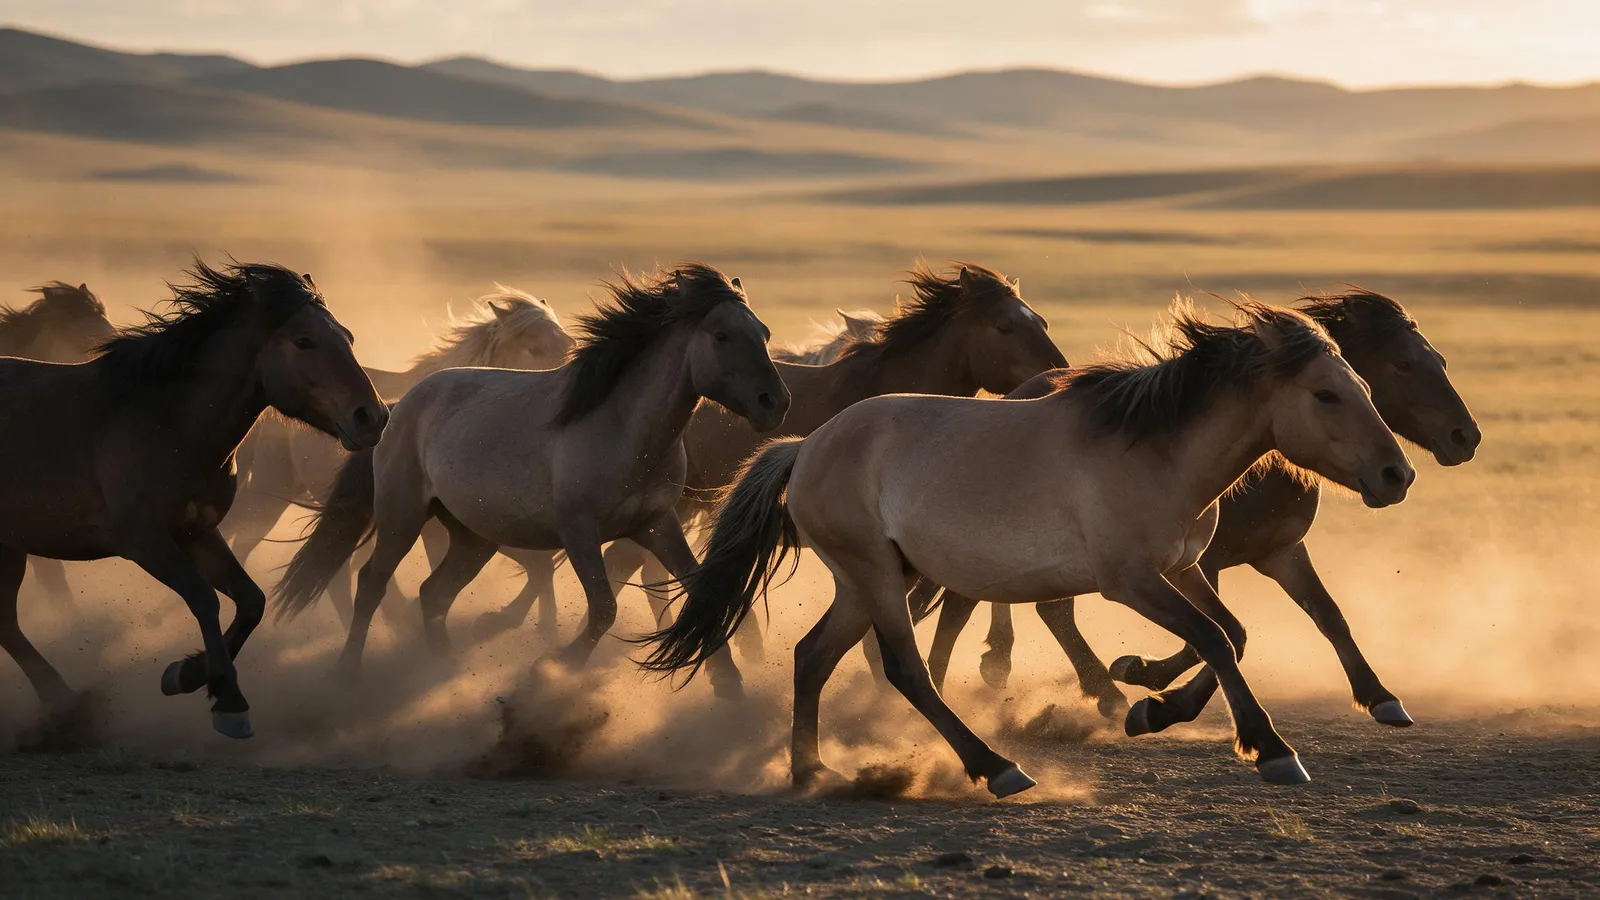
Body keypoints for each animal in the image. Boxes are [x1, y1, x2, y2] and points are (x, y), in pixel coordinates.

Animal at [272, 263, 791, 698]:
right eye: (722, 335)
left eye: (764, 333)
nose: (775, 402)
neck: (621, 427)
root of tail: (398, 406)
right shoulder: (579, 531)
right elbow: (603, 607)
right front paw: (556, 667)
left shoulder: (657, 524)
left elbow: (699, 592)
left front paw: (729, 682)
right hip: (403, 517)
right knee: (372, 584)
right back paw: (348, 673)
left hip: (473, 537)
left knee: (434, 594)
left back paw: (442, 671)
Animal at [641, 300, 1415, 794]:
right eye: (1326, 396)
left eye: (1362, 387)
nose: (1396, 475)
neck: (1157, 450)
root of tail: (805, 448)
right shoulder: (1129, 580)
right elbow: (1215, 640)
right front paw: (1269, 748)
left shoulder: (1184, 568)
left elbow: (1232, 634)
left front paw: (1149, 703)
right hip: (876, 576)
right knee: (905, 670)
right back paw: (996, 769)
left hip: (870, 581)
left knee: (812, 657)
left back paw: (810, 772)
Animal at [920, 289, 1481, 733]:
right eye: (1403, 364)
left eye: (1439, 361)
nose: (1465, 437)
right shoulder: (1195, 564)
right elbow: (1213, 639)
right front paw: (1145, 680)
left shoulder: (1279, 552)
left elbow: (1325, 616)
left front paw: (1380, 697)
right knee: (977, 605)